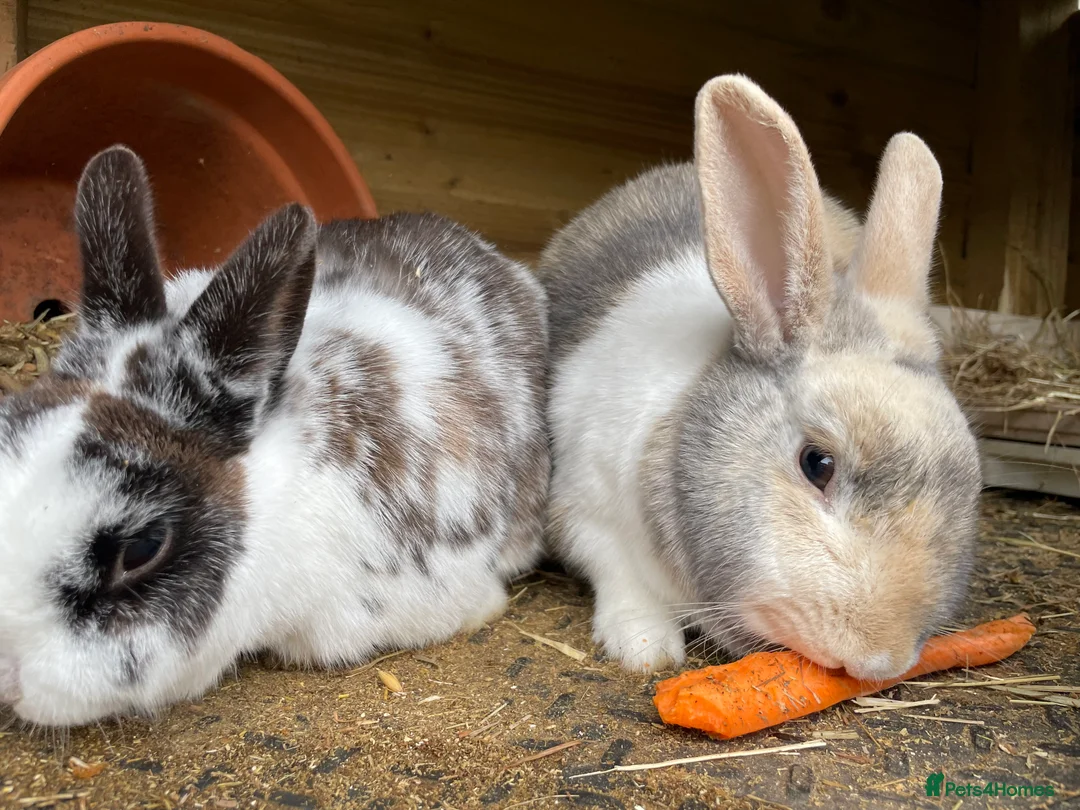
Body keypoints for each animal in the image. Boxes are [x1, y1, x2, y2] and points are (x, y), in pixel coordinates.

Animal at [537, 74, 981, 679]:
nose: (880, 659)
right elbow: (619, 577)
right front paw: (646, 646)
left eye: (972, 483)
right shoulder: (584, 509)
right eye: (817, 464)